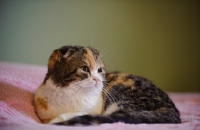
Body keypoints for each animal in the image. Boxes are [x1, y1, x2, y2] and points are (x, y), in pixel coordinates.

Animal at [34, 45, 181, 125]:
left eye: (100, 70)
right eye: (85, 68)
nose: (97, 80)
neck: (68, 93)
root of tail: (173, 111)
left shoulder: (95, 110)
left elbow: (81, 115)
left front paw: (57, 121)